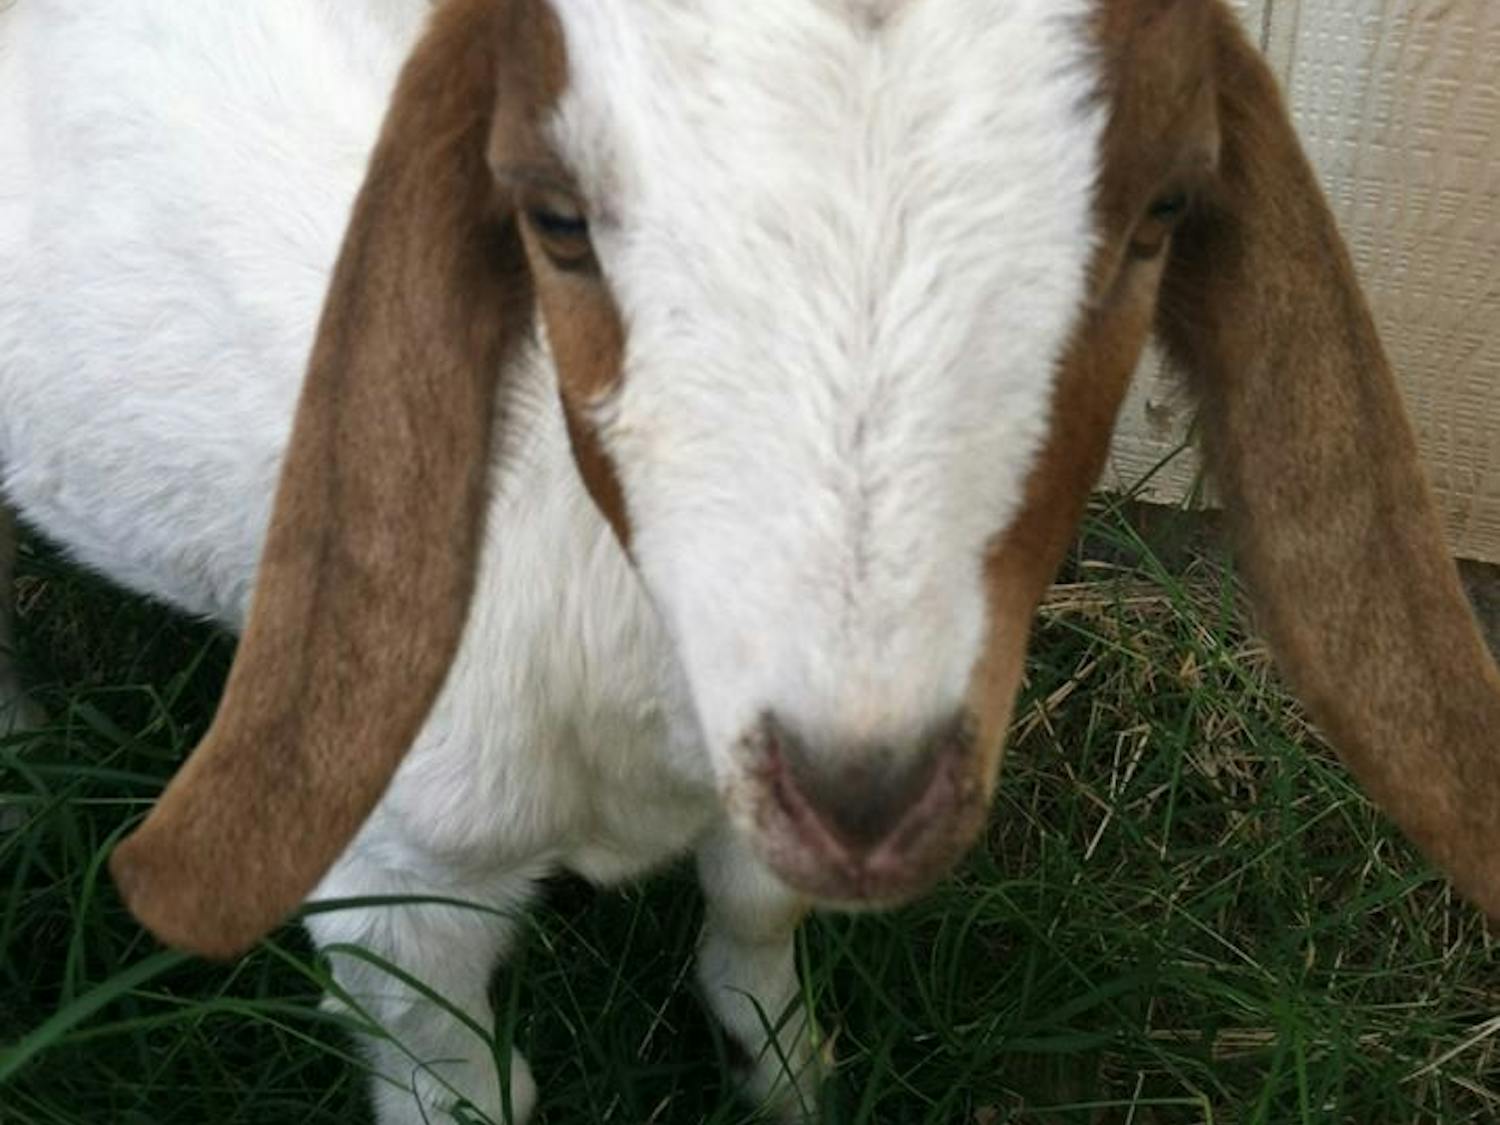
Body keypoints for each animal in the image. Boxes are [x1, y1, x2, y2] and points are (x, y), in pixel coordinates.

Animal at [3, 0, 1499, 1121]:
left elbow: (761, 914)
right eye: (554, 218)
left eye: (1163, 210)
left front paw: (780, 1065)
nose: (869, 795)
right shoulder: (392, 879)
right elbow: (454, 1074)